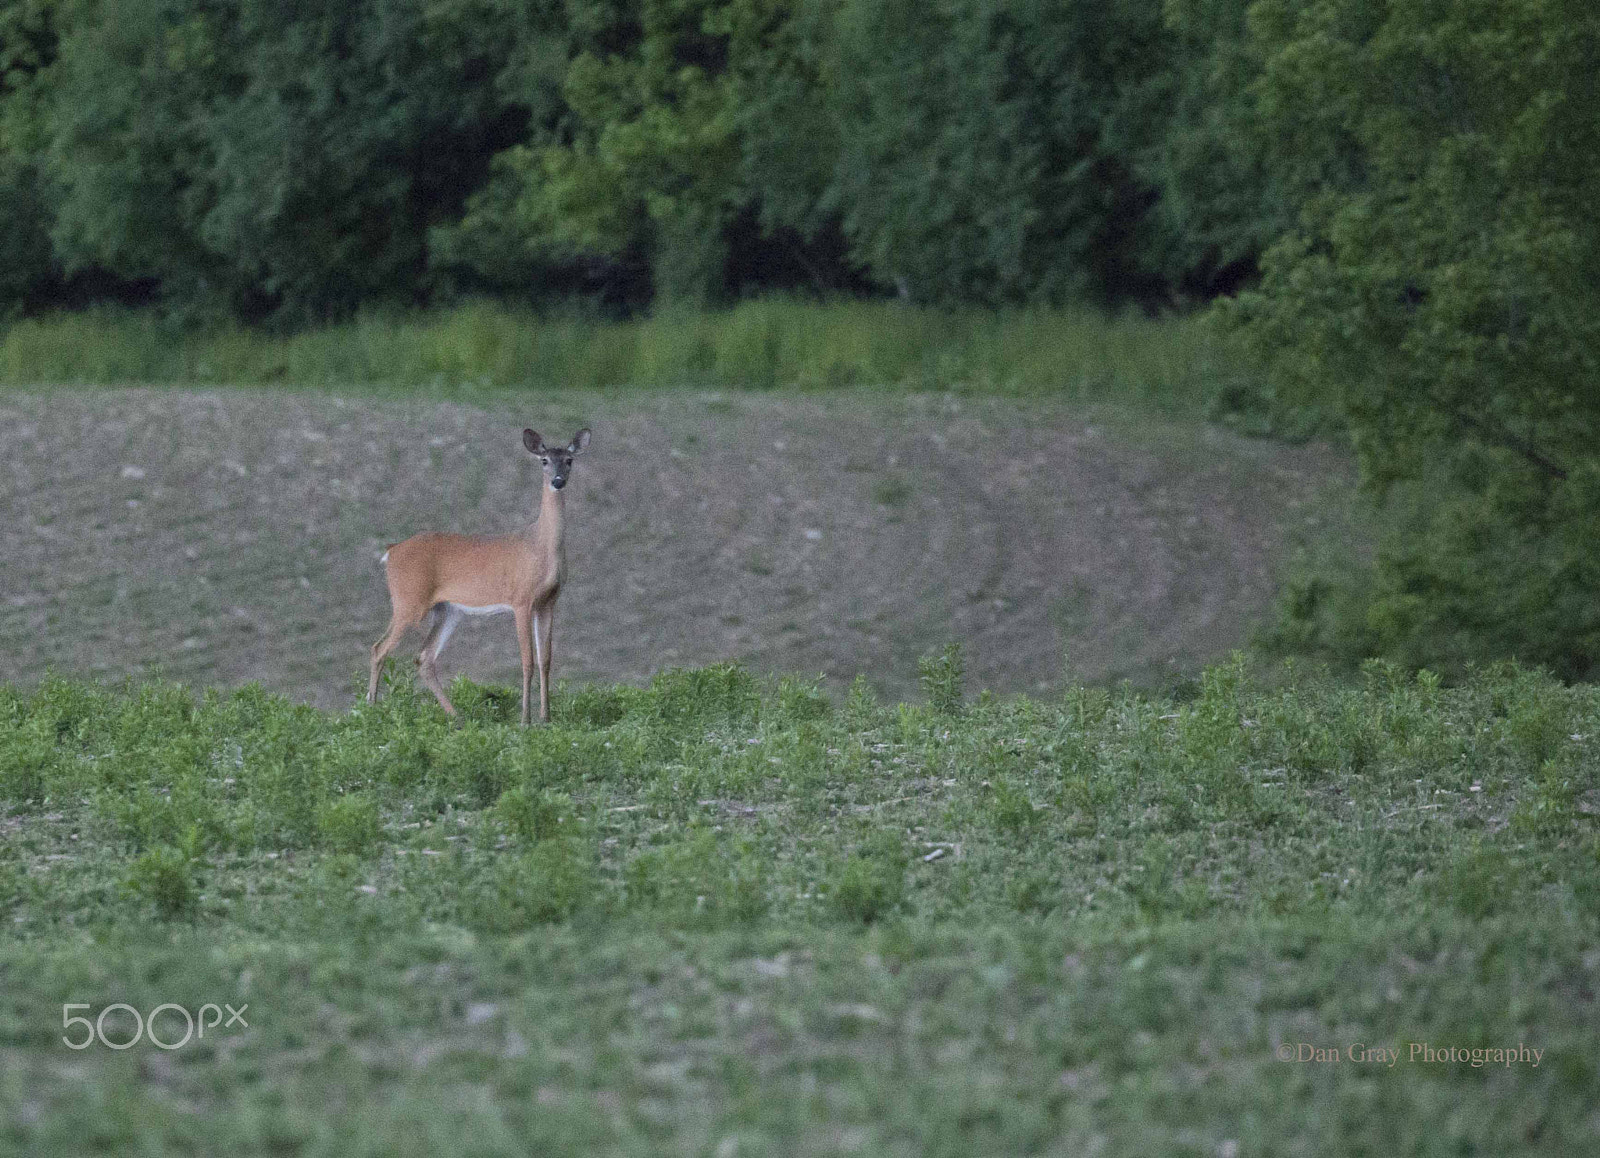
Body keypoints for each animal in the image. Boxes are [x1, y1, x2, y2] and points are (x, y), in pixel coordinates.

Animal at [366, 428, 592, 722]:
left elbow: (546, 660)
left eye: (569, 460)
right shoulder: (521, 599)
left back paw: (458, 718)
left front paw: (546, 718)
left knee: (424, 657)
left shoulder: (548, 602)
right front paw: (525, 720)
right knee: (379, 649)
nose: (558, 481)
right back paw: (370, 711)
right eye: (544, 460)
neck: (540, 547)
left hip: (448, 610)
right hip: (408, 600)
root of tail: (392, 551)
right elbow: (527, 660)